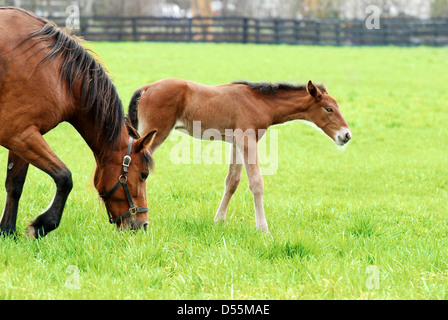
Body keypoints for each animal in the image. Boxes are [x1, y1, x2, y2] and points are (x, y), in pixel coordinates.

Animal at [128, 77, 352, 232]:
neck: (261, 102)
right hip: (155, 134)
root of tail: (146, 88)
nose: (346, 135)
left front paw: (219, 220)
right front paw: (263, 229)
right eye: (329, 109)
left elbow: (232, 181)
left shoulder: (236, 142)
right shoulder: (247, 140)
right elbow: (256, 183)